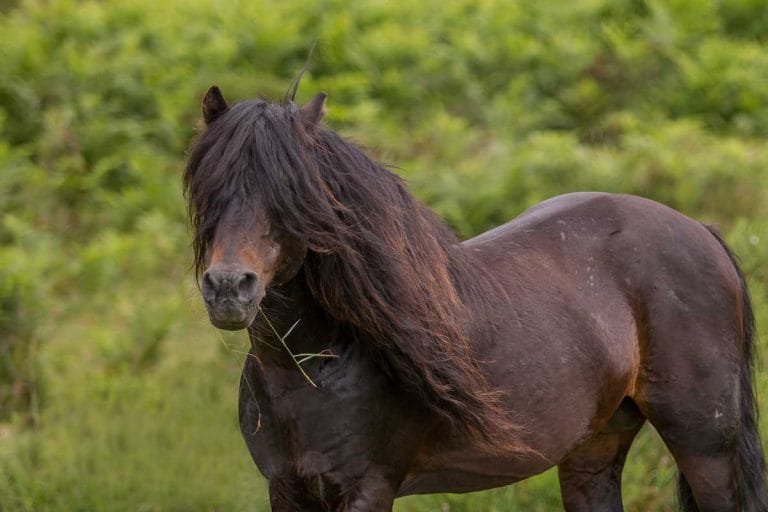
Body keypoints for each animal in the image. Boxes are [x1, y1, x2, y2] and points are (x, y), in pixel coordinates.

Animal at [184, 85, 767, 511]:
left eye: (290, 195)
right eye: (208, 189)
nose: (229, 288)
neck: (314, 368)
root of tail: (700, 231)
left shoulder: (368, 487)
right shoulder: (288, 489)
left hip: (705, 448)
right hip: (595, 447)